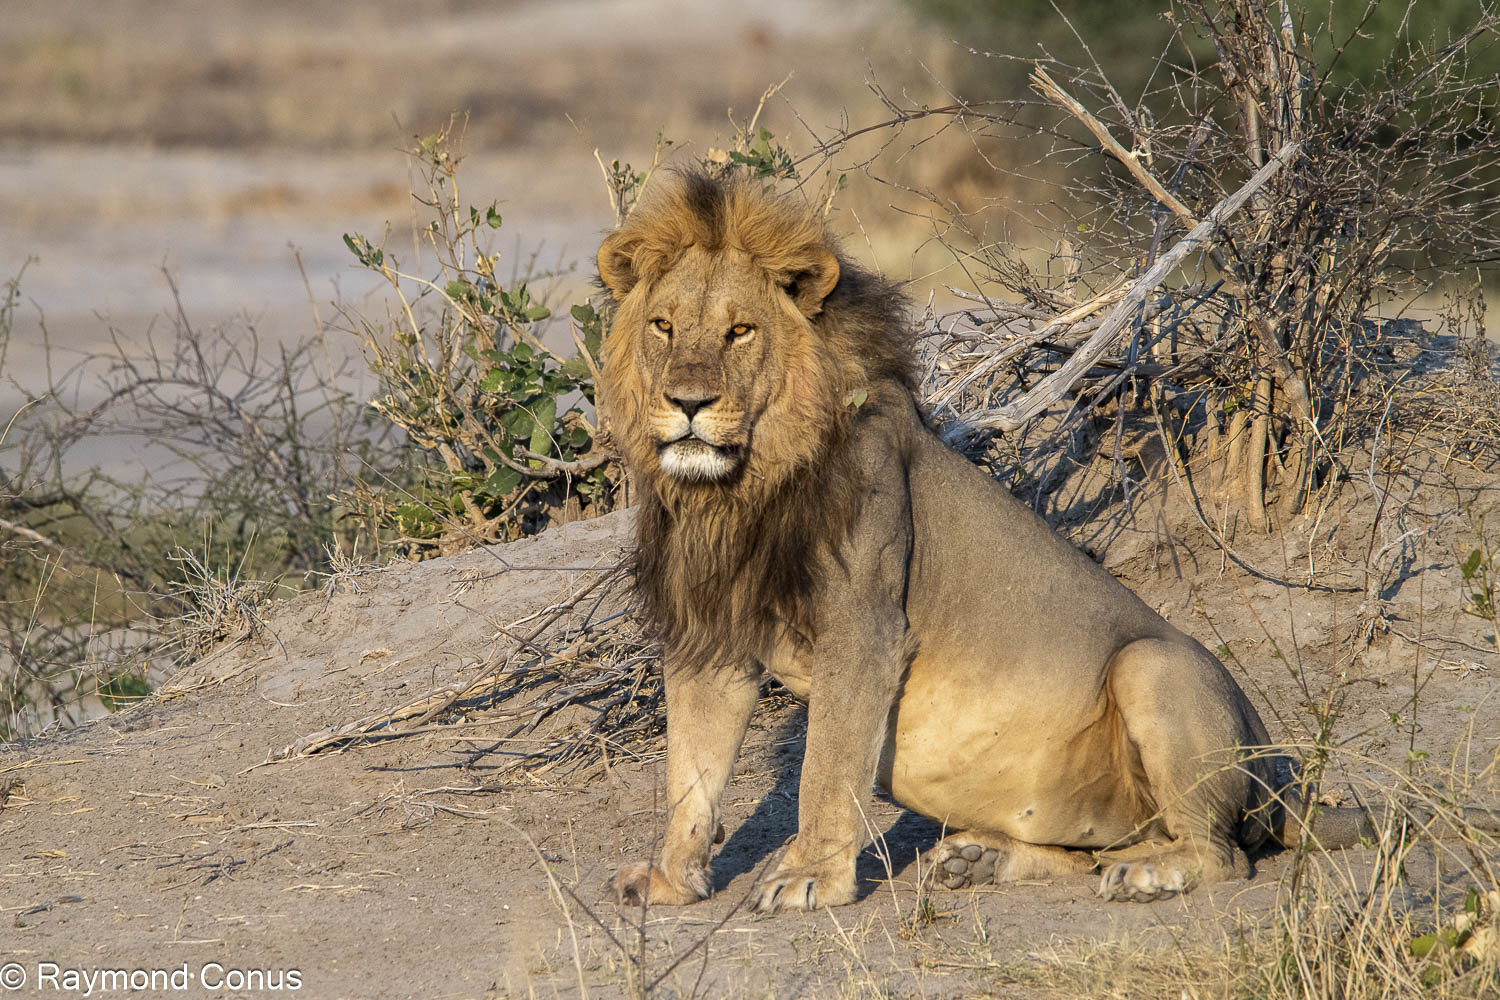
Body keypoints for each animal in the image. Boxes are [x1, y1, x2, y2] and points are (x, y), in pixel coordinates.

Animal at [593, 171, 1380, 912]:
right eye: (663, 326)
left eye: (741, 332)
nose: (687, 402)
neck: (736, 491)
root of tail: (1281, 780)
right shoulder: (711, 630)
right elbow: (691, 771)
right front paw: (670, 881)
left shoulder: (864, 624)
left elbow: (825, 768)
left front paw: (808, 877)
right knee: (1100, 850)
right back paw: (982, 860)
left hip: (1153, 667)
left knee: (1220, 853)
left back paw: (1149, 874)